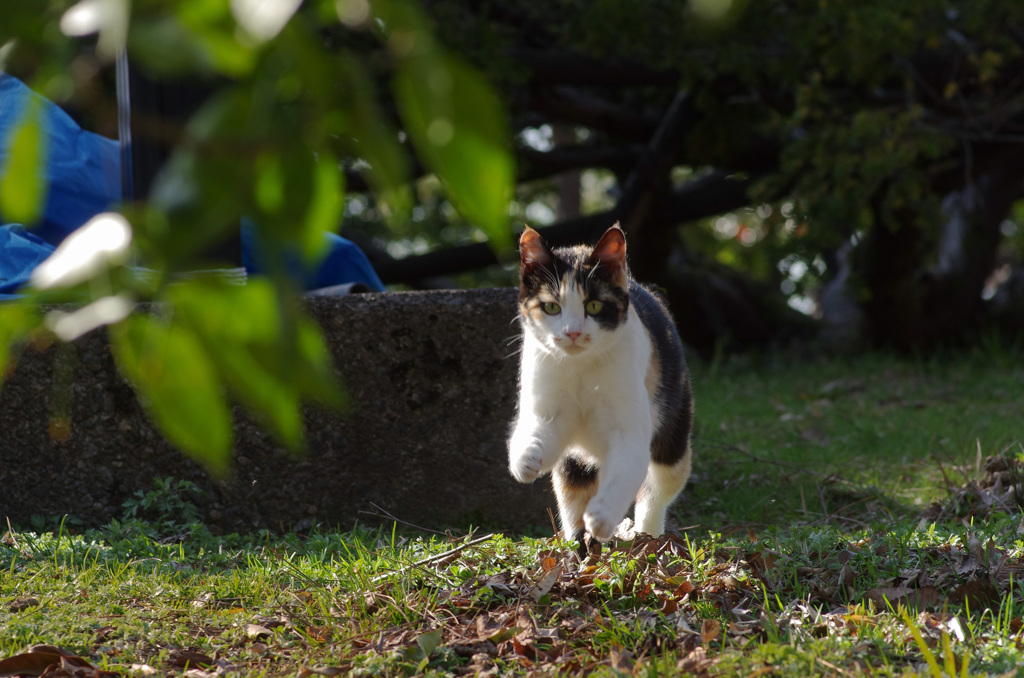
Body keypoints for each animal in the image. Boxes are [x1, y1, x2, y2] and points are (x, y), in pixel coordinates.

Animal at [505, 225, 692, 544]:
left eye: (593, 305)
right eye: (551, 307)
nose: (572, 332)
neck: (581, 368)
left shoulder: (629, 433)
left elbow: (624, 475)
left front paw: (602, 518)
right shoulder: (548, 410)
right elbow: (538, 430)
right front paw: (525, 458)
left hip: (673, 432)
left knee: (657, 490)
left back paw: (647, 536)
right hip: (574, 466)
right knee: (572, 494)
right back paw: (579, 540)